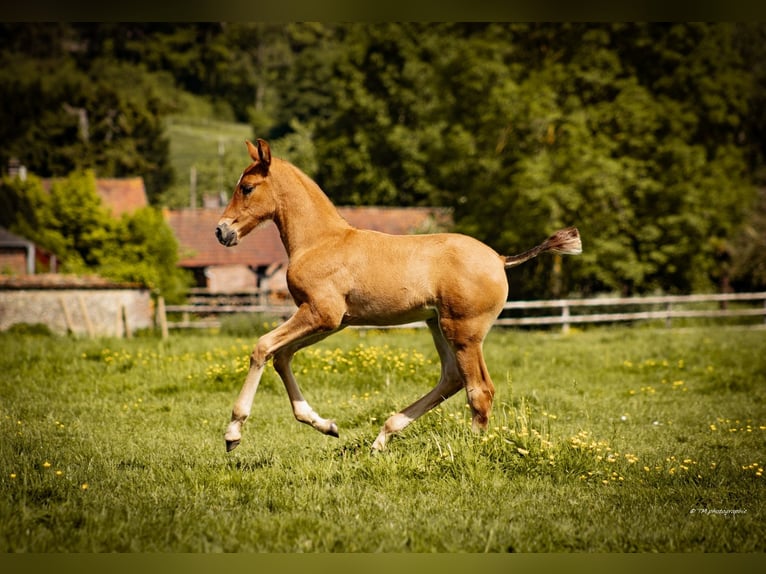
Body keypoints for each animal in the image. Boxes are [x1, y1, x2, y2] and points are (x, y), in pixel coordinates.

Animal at [216, 141, 584, 454]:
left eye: (247, 188)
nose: (222, 231)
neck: (320, 241)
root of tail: (499, 259)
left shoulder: (321, 313)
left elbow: (263, 347)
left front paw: (233, 432)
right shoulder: (333, 322)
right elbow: (281, 356)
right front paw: (326, 425)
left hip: (464, 331)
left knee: (479, 390)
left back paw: (469, 449)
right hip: (437, 324)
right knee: (452, 378)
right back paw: (383, 436)